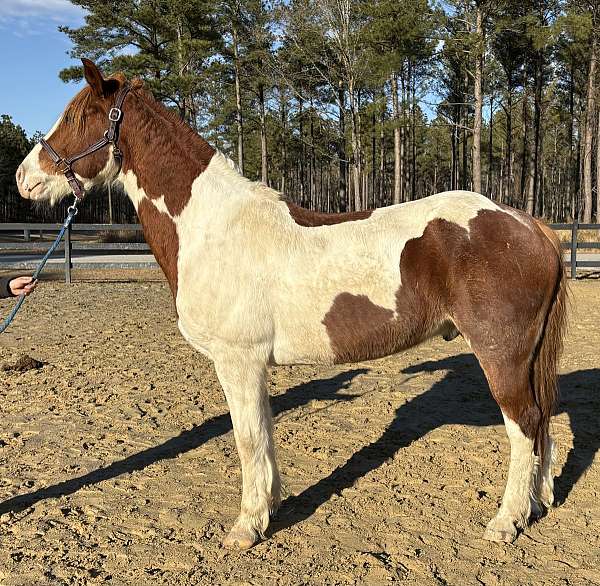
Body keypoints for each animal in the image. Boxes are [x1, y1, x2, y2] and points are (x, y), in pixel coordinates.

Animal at [15, 59, 568, 548]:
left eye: (77, 117)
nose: (24, 178)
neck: (214, 227)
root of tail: (527, 224)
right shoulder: (253, 366)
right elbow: (262, 434)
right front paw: (270, 508)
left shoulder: (237, 361)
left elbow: (247, 438)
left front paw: (246, 528)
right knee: (542, 422)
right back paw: (538, 504)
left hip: (501, 355)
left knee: (524, 425)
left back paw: (506, 521)